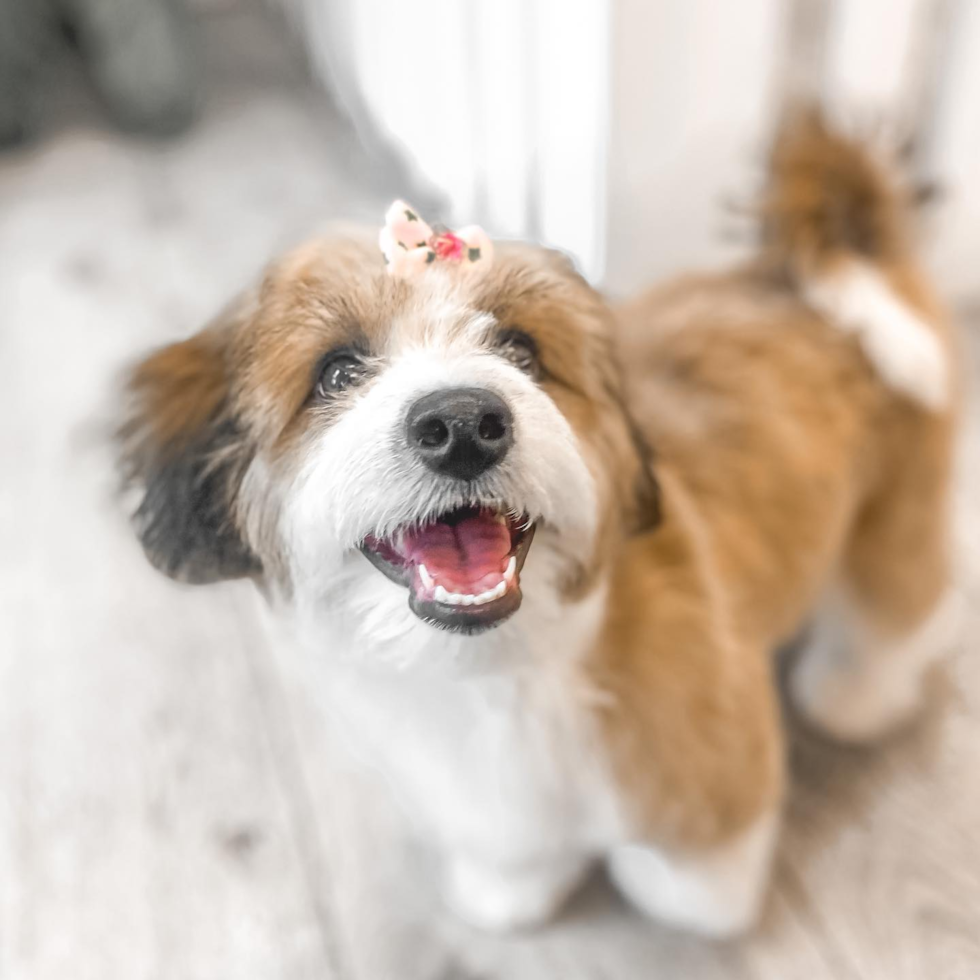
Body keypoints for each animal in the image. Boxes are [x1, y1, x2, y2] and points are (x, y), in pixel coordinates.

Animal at [115, 115, 956, 936]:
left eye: (519, 349)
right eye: (338, 372)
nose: (461, 424)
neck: (503, 666)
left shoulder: (712, 753)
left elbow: (691, 876)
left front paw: (685, 891)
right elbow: (512, 845)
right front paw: (512, 888)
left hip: (896, 507)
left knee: (895, 600)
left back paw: (855, 693)